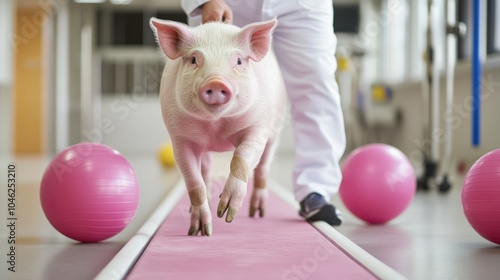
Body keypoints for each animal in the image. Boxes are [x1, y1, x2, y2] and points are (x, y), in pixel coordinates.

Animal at [149, 17, 286, 236]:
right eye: (194, 59)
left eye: (238, 61)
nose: (215, 82)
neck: (215, 127)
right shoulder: (179, 138)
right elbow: (193, 182)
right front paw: (201, 232)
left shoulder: (258, 126)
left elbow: (242, 158)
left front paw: (226, 214)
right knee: (205, 171)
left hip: (276, 129)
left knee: (264, 166)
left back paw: (257, 213)